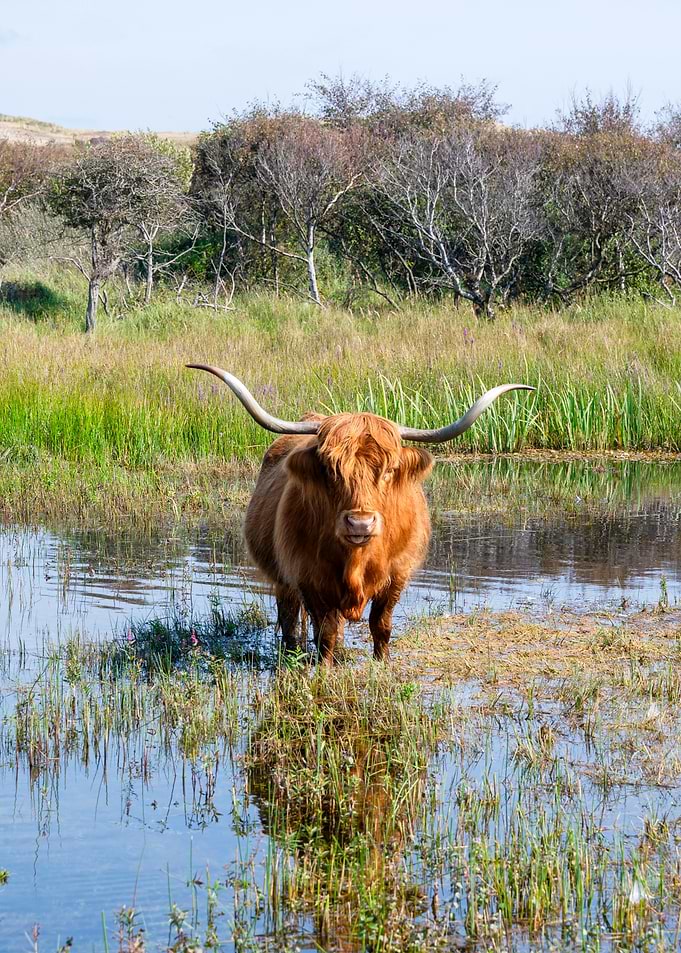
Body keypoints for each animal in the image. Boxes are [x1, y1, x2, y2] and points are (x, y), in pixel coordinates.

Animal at [188, 365, 534, 664]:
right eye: (330, 470)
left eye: (390, 470)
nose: (360, 522)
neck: (357, 559)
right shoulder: (308, 579)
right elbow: (324, 634)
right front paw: (324, 670)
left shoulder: (397, 576)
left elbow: (381, 626)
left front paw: (382, 666)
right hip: (282, 577)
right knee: (289, 620)